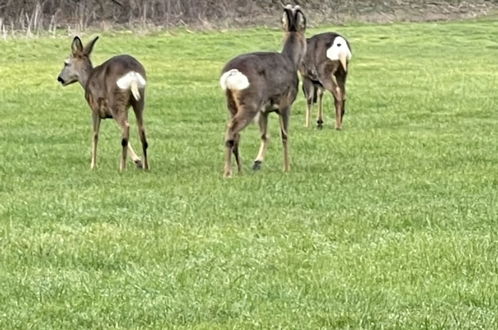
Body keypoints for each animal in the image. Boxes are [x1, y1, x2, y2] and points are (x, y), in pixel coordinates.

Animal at [56, 36, 149, 170]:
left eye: (66, 63)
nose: (59, 78)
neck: (87, 79)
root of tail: (132, 74)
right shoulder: (115, 111)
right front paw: (138, 161)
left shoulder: (94, 108)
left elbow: (95, 135)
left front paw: (93, 165)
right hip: (138, 99)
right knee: (141, 130)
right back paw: (146, 166)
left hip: (116, 100)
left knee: (126, 127)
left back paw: (122, 168)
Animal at [219, 3, 306, 178]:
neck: (291, 60)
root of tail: (231, 73)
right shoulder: (286, 103)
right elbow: (284, 135)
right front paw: (287, 168)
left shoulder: (265, 109)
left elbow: (265, 135)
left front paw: (257, 162)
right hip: (251, 102)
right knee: (232, 129)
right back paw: (228, 172)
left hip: (232, 103)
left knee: (236, 134)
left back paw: (240, 170)